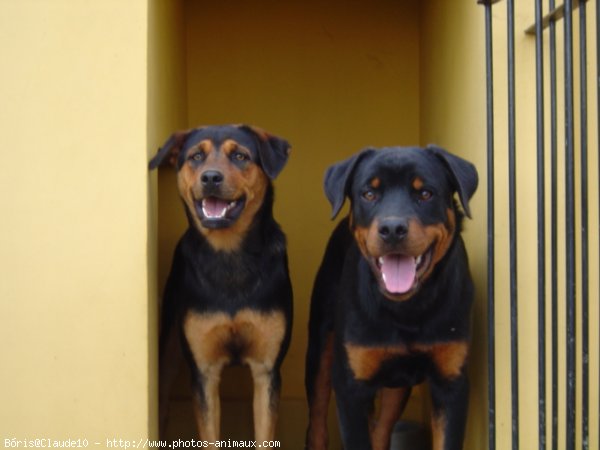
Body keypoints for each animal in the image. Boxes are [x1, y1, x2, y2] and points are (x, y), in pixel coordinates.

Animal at [151, 124, 294, 442]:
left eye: (240, 156)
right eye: (196, 156)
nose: (211, 178)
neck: (229, 254)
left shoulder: (267, 370)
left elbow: (265, 435)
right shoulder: (204, 371)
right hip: (169, 345)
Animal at [304, 146, 478, 450]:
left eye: (425, 193)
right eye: (369, 193)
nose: (393, 228)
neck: (406, 309)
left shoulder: (451, 382)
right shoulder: (350, 385)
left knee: (382, 428)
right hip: (320, 346)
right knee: (316, 424)